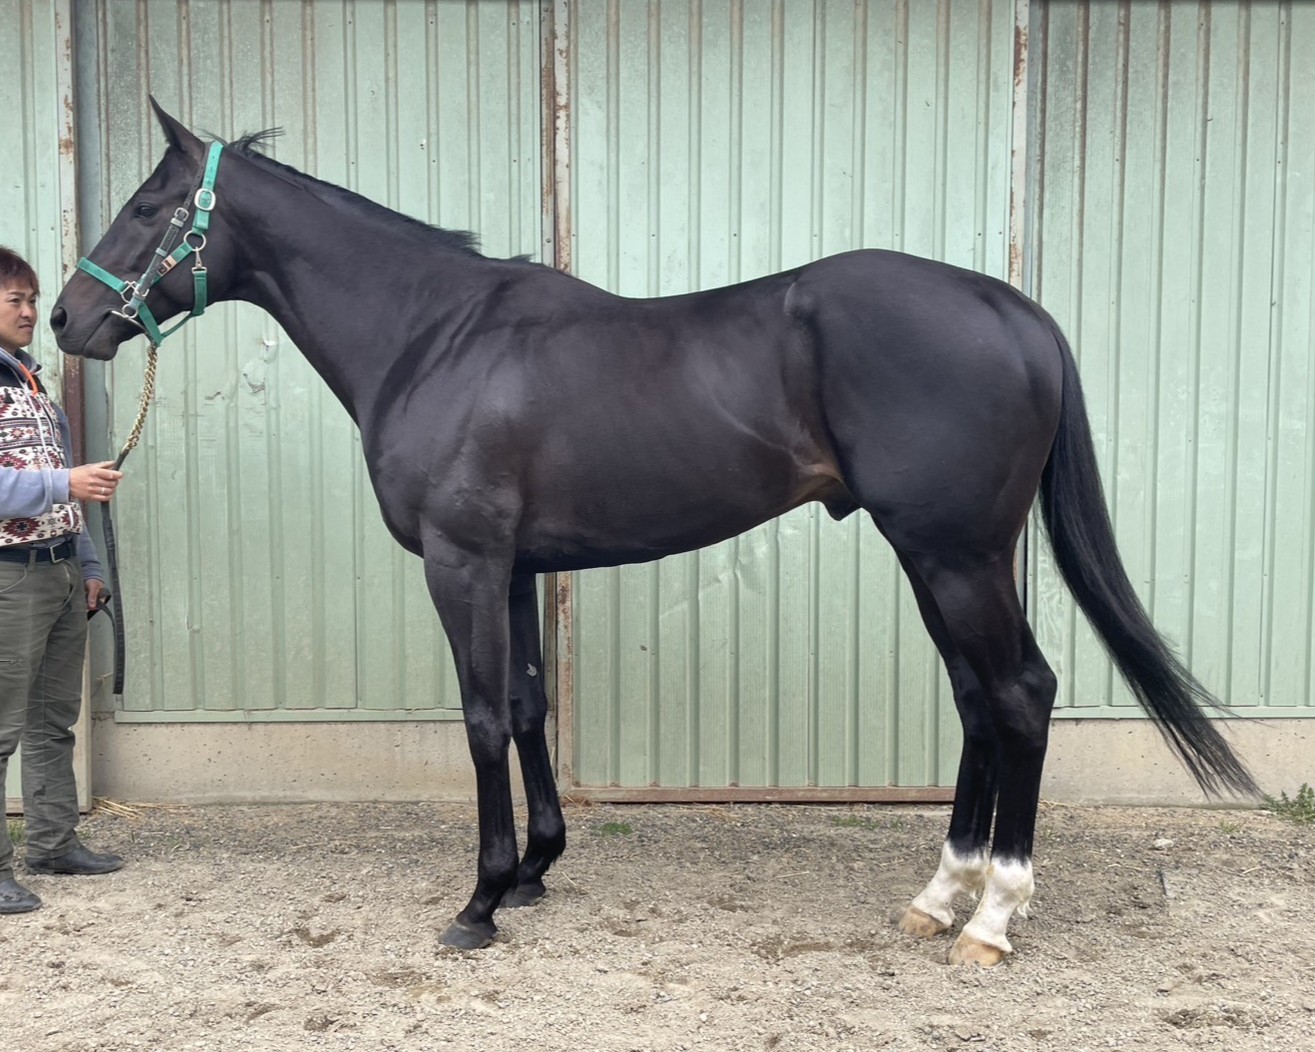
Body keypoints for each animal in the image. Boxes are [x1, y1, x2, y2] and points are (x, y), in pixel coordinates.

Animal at [51, 100, 1257, 965]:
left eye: (151, 206)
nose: (66, 317)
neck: (435, 336)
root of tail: (1013, 310)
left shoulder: (463, 563)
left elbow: (481, 719)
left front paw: (479, 901)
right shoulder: (519, 566)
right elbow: (528, 708)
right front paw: (536, 870)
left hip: (951, 554)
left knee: (1018, 694)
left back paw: (995, 917)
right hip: (947, 559)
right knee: (978, 698)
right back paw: (939, 896)